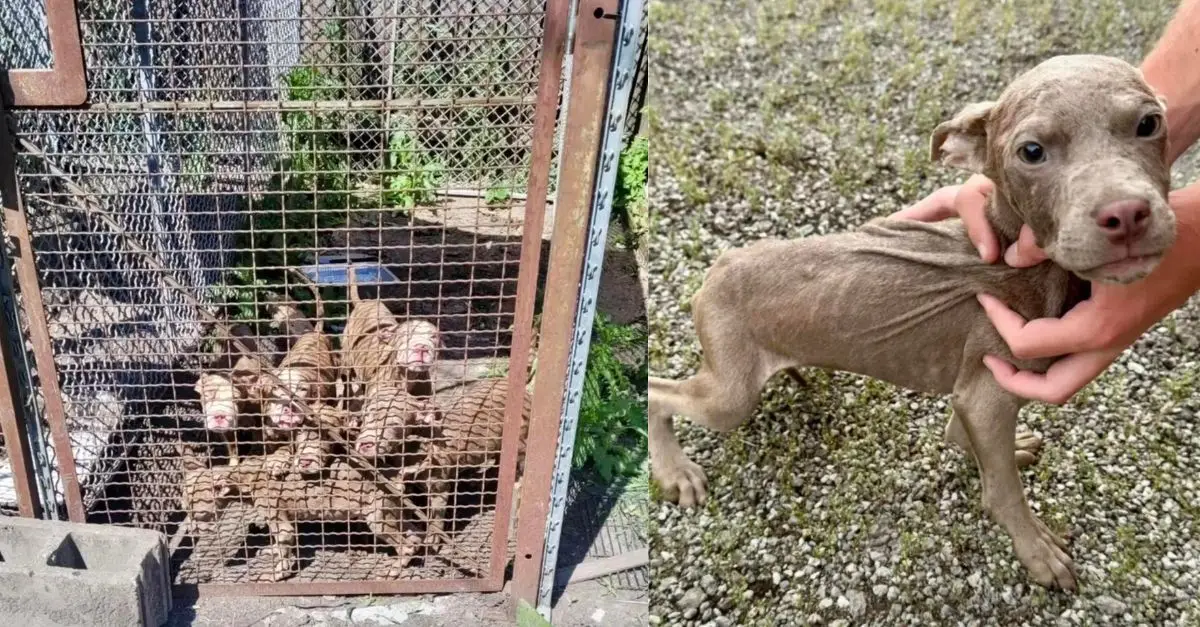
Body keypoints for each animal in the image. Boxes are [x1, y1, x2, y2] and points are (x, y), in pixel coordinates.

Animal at [652, 54, 1176, 590]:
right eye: (1031, 151)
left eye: (1149, 124)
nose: (1126, 214)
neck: (1019, 261)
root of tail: (718, 268)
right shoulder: (989, 390)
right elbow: (1004, 492)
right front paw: (1036, 550)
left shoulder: (975, 388)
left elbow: (966, 438)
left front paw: (996, 452)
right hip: (729, 395)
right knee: (657, 393)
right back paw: (676, 472)